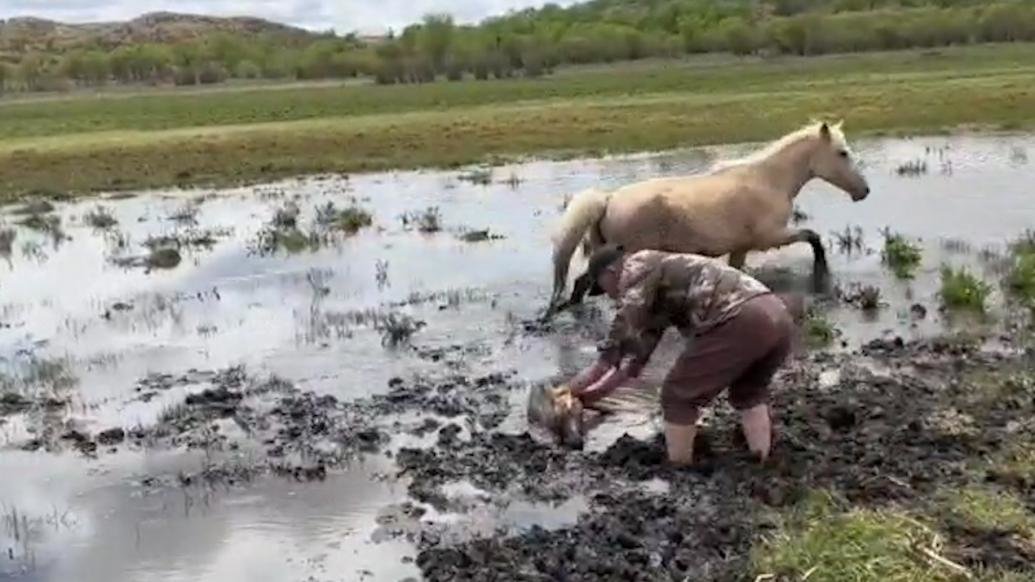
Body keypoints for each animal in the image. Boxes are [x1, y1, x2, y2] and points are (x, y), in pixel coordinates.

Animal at [546, 119, 869, 314]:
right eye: (842, 153)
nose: (864, 191)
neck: (769, 181)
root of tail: (609, 199)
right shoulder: (770, 237)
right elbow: (813, 237)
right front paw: (821, 272)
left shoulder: (741, 248)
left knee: (581, 282)